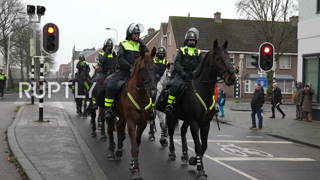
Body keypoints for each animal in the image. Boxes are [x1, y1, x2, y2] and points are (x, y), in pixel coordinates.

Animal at [107, 46, 158, 180]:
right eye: (142, 68)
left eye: (155, 67)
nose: (153, 92)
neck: (140, 95)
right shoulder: (131, 122)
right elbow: (134, 147)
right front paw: (136, 171)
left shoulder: (143, 122)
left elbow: (137, 143)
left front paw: (133, 163)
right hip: (108, 113)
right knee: (110, 130)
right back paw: (111, 153)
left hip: (122, 116)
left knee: (119, 127)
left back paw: (118, 151)